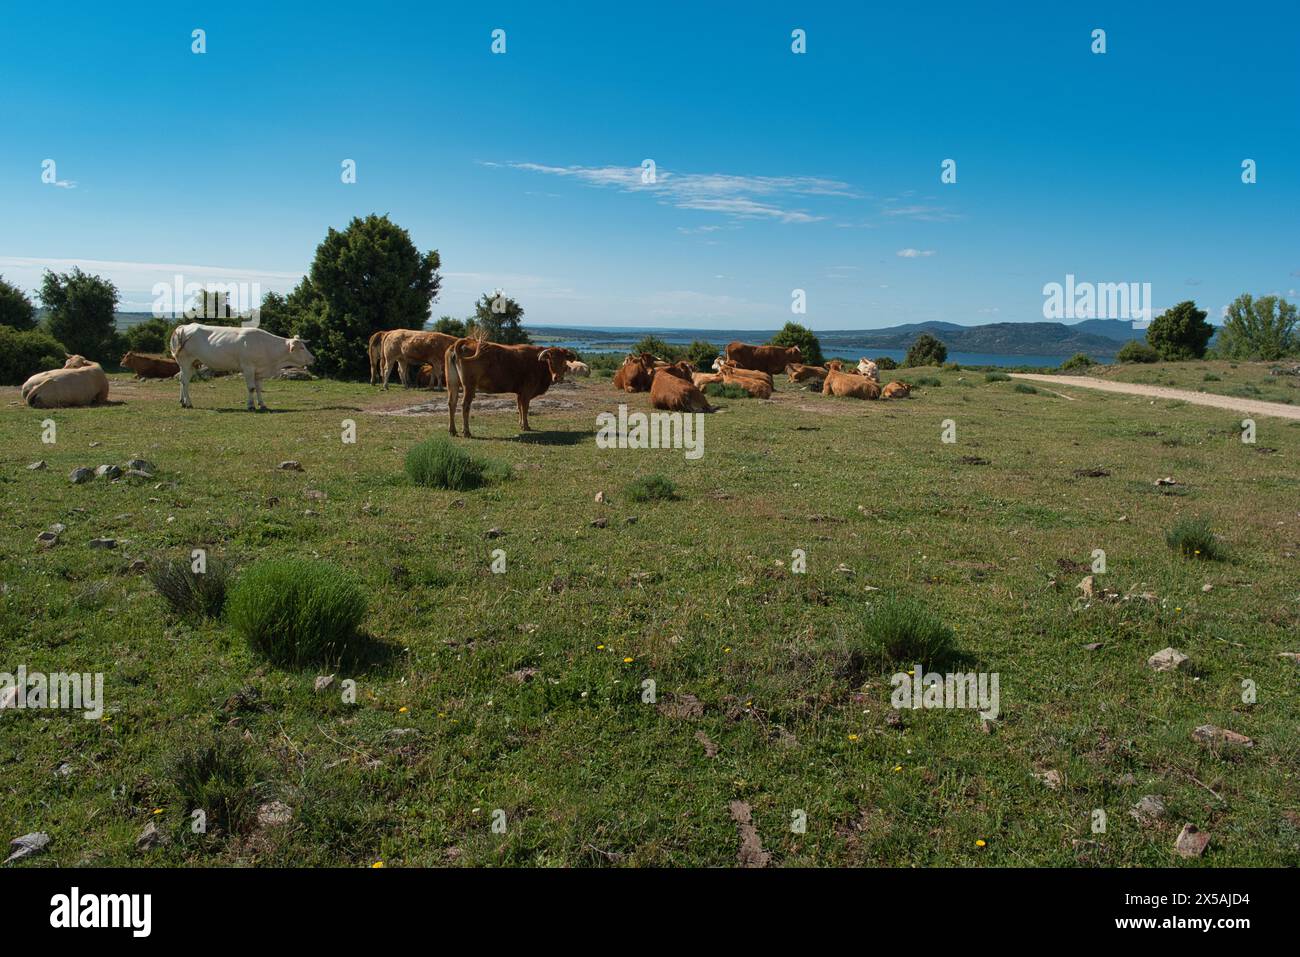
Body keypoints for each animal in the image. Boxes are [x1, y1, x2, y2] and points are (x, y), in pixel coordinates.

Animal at [171, 323, 315, 408]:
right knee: (184, 382)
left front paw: (262, 404)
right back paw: (188, 403)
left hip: (191, 363)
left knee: (183, 380)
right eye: (301, 347)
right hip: (186, 360)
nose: (313, 358)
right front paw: (251, 406)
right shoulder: (248, 367)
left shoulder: (259, 371)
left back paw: (182, 401)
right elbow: (251, 388)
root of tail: (182, 327)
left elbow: (259, 388)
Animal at [444, 340, 577, 436]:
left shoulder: (520, 392)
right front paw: (526, 426)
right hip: (469, 386)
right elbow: (525, 408)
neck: (538, 364)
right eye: (551, 361)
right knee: (465, 405)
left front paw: (521, 424)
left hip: (452, 383)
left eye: (564, 361)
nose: (558, 377)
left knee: (452, 403)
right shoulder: (527, 391)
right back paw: (466, 431)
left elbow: (519, 407)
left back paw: (452, 430)